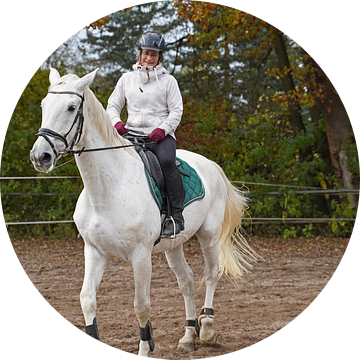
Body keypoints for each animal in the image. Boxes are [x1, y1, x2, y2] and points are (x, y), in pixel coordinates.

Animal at [28, 68, 258, 358]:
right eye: (43, 105)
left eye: (71, 107)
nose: (40, 156)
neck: (107, 189)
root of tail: (211, 165)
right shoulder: (95, 251)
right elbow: (87, 299)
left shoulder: (140, 255)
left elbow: (141, 306)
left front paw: (145, 347)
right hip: (174, 245)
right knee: (187, 281)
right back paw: (188, 336)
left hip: (209, 235)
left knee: (210, 274)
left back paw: (206, 329)